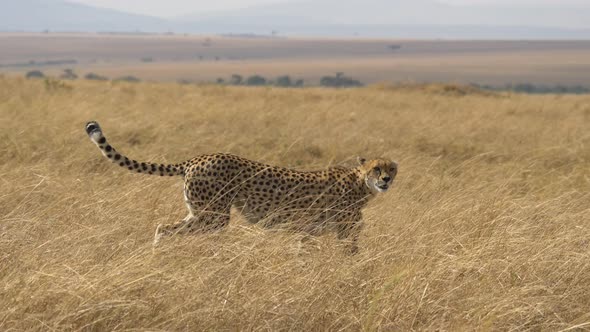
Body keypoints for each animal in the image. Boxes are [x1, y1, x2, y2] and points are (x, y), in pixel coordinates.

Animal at [85, 120, 398, 253]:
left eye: (392, 168)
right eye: (376, 169)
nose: (386, 180)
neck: (361, 184)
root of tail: (196, 158)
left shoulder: (308, 231)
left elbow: (304, 253)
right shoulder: (344, 233)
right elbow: (350, 256)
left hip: (200, 213)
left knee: (164, 227)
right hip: (213, 216)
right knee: (166, 228)